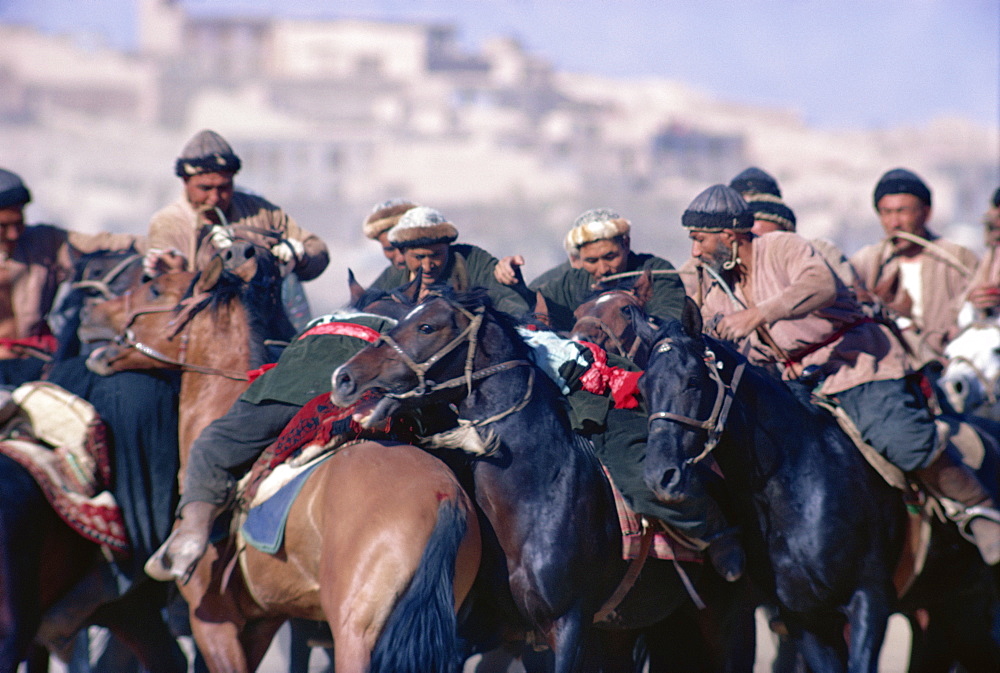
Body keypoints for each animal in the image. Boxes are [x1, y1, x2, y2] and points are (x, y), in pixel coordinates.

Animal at [82, 244, 480, 672]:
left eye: (154, 289)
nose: (90, 313)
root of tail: (443, 498)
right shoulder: (263, 621)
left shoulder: (215, 624)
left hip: (356, 637)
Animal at [632, 306, 1000, 672]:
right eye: (643, 389)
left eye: (693, 381)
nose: (659, 475)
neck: (796, 485)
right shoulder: (805, 619)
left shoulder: (870, 601)